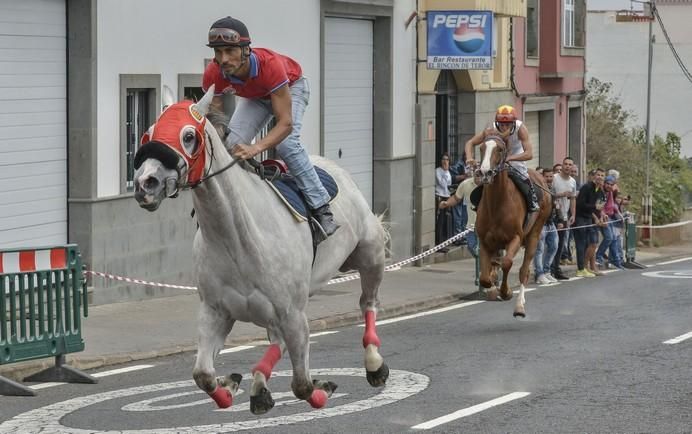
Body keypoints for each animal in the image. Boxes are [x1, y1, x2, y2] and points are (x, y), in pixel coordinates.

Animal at [132, 85, 386, 414]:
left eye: (188, 135)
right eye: (148, 133)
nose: (145, 183)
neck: (238, 241)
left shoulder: (294, 315)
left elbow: (302, 385)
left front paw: (323, 388)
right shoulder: (215, 312)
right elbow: (202, 374)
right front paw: (230, 385)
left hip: (370, 254)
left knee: (368, 303)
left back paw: (374, 364)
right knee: (275, 343)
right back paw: (257, 385)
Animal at [474, 134, 548, 318]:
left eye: (500, 149)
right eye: (482, 148)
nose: (484, 172)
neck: (497, 203)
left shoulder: (515, 237)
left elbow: (507, 263)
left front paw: (506, 292)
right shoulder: (484, 240)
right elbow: (485, 277)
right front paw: (492, 285)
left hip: (534, 234)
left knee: (524, 271)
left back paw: (519, 307)